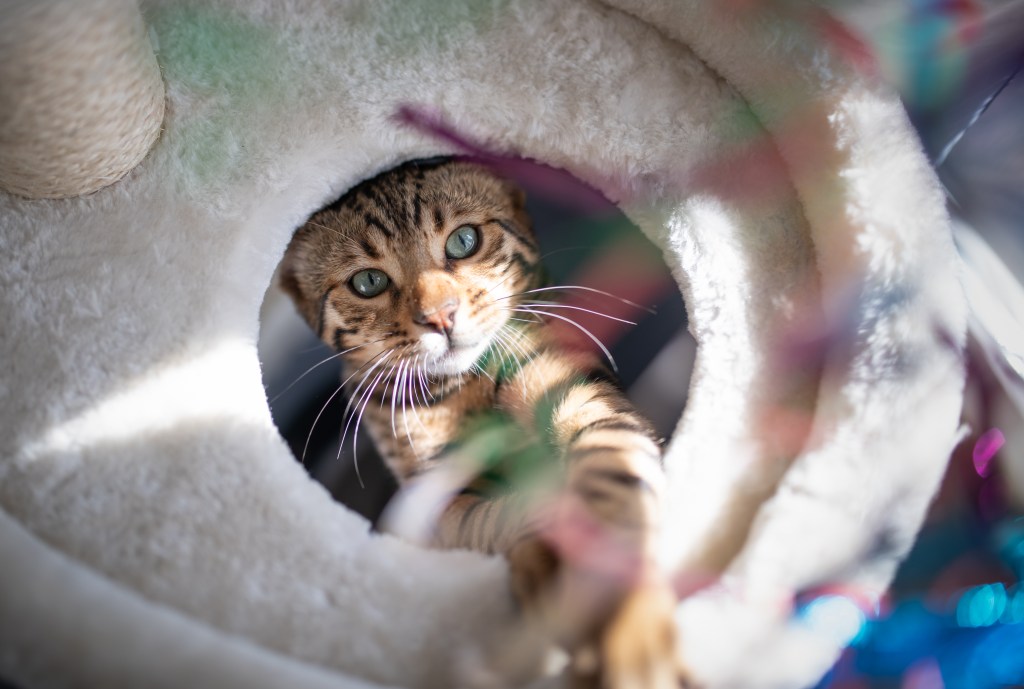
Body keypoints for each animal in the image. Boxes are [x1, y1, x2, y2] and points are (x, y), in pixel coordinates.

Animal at [280, 159, 679, 687]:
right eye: (368, 282)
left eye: (463, 241)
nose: (440, 317)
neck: (463, 389)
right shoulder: (429, 502)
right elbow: (500, 516)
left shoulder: (584, 400)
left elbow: (613, 487)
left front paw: (627, 619)